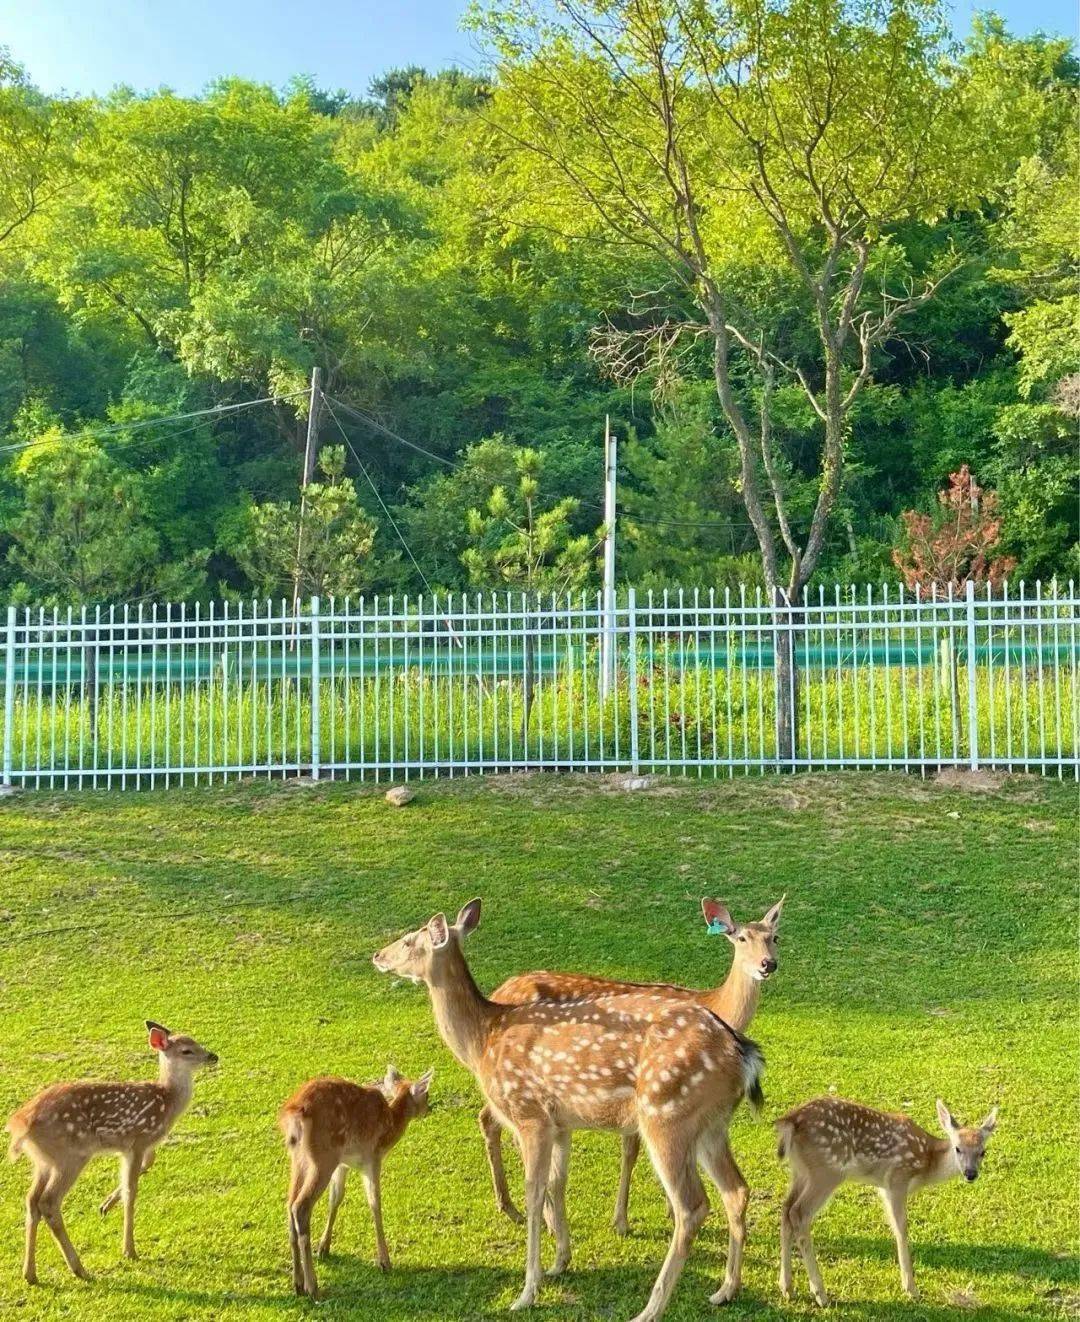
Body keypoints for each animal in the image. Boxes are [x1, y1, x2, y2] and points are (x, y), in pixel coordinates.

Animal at [5, 1020, 218, 1279]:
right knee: (48, 1202)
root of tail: (20, 1123)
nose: (213, 1056)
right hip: (71, 1155)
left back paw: (30, 1274)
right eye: (187, 1050)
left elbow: (147, 1163)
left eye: (196, 1042)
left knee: (31, 1200)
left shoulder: (131, 1147)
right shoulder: (138, 1138)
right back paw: (79, 1269)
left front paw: (106, 1204)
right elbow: (131, 1190)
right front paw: (129, 1250)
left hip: (43, 1161)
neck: (167, 1103)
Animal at [375, 898, 761, 1322]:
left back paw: (651, 1308)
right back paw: (725, 1290)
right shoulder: (560, 1124)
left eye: (409, 940)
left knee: (692, 1206)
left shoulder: (530, 1114)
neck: (482, 1041)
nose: (378, 955)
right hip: (712, 1124)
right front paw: (560, 1262)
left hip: (666, 1112)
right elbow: (557, 1183)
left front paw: (527, 1291)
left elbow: (535, 1192)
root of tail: (743, 1054)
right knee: (736, 1190)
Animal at [777, 1094, 994, 1300]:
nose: (970, 1173)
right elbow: (901, 1228)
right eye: (958, 1148)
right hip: (827, 1170)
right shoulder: (897, 1179)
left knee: (786, 1208)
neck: (926, 1162)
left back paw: (787, 1287)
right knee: (799, 1212)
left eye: (983, 1152)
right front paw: (910, 1288)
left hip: (800, 1171)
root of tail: (791, 1120)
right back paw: (820, 1293)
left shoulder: (884, 1187)